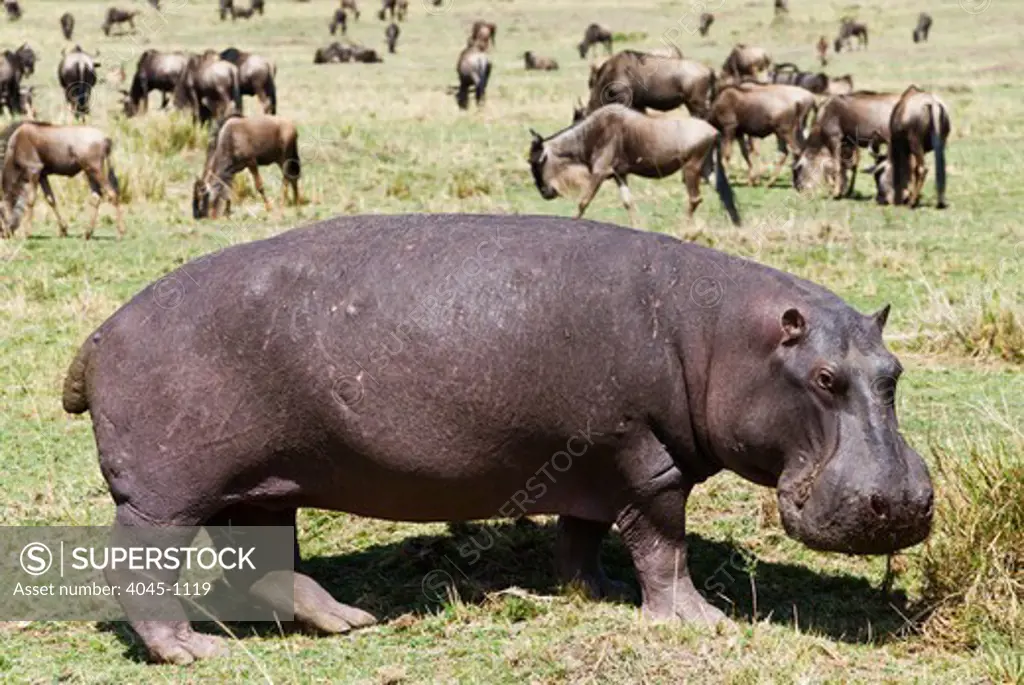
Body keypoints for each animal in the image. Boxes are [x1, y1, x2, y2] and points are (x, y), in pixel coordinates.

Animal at [532, 104, 741, 225]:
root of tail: (714, 131)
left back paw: (685, 230)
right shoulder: (619, 175)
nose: (544, 193)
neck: (590, 134)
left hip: (691, 168)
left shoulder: (599, 172)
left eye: (537, 162)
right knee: (724, 193)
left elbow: (583, 201)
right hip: (707, 169)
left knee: (695, 198)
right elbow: (628, 203)